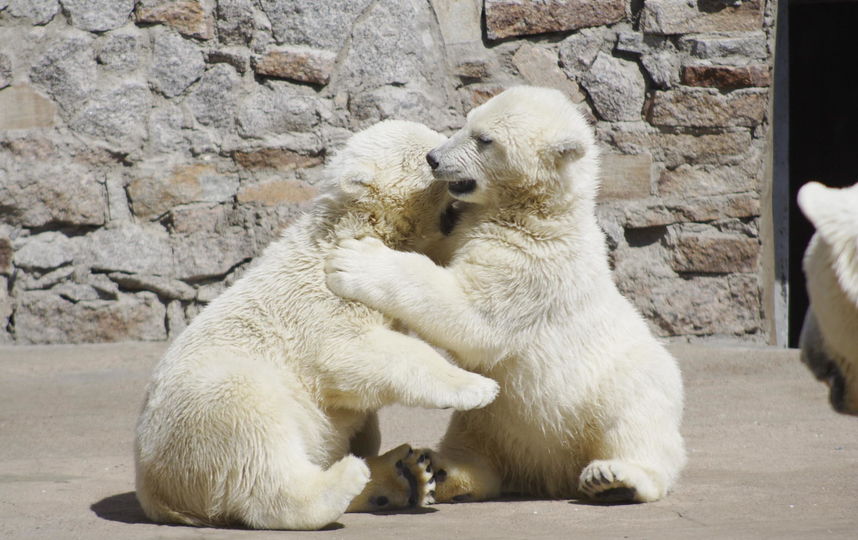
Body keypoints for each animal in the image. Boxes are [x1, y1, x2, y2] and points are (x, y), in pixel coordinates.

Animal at [132, 120, 494, 528]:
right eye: (428, 156)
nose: (449, 165)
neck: (349, 230)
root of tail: (155, 492)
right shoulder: (320, 303)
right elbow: (357, 353)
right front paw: (476, 386)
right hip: (213, 405)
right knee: (257, 449)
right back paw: (350, 478)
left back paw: (403, 475)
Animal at [324, 86, 684, 504]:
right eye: (467, 123)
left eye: (485, 140)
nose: (434, 158)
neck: (538, 212)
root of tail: (550, 473)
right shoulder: (472, 230)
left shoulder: (533, 265)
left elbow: (474, 314)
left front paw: (353, 261)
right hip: (493, 421)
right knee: (474, 442)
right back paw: (438, 469)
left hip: (623, 382)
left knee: (637, 420)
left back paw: (615, 478)